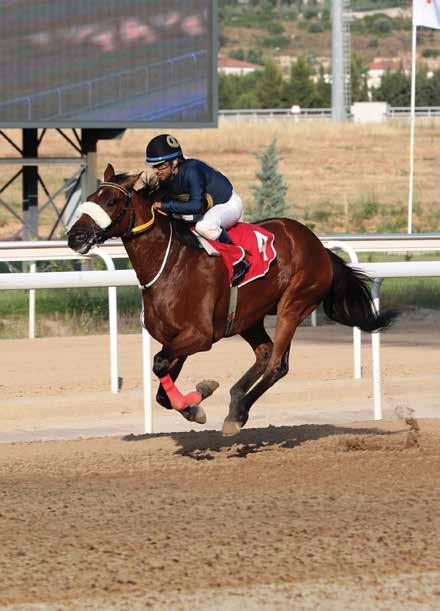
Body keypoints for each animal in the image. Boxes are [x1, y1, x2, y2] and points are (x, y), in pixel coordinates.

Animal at [67, 165, 398, 438]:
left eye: (111, 201)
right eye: (91, 197)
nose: (75, 236)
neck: (169, 264)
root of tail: (319, 247)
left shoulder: (199, 336)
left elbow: (159, 365)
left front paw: (198, 401)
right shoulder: (176, 338)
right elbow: (161, 387)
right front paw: (195, 403)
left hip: (293, 305)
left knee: (277, 365)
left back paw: (238, 414)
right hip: (248, 317)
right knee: (265, 354)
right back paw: (237, 399)